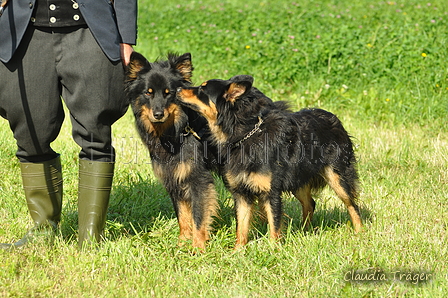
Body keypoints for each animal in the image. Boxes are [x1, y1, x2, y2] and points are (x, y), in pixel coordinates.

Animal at [124, 52, 219, 250]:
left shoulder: (198, 179)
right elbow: (182, 215)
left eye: (169, 94)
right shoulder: (173, 178)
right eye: (148, 93)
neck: (177, 132)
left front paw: (198, 247)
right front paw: (182, 243)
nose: (158, 114)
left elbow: (199, 216)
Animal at [177, 75, 362, 248]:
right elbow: (241, 227)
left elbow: (274, 225)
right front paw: (238, 251)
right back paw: (304, 231)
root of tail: (333, 118)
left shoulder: (270, 192)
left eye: (202, 89)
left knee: (352, 204)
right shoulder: (241, 193)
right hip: (298, 179)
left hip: (337, 177)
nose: (177, 89)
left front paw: (274, 250)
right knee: (310, 203)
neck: (244, 135)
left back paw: (360, 232)